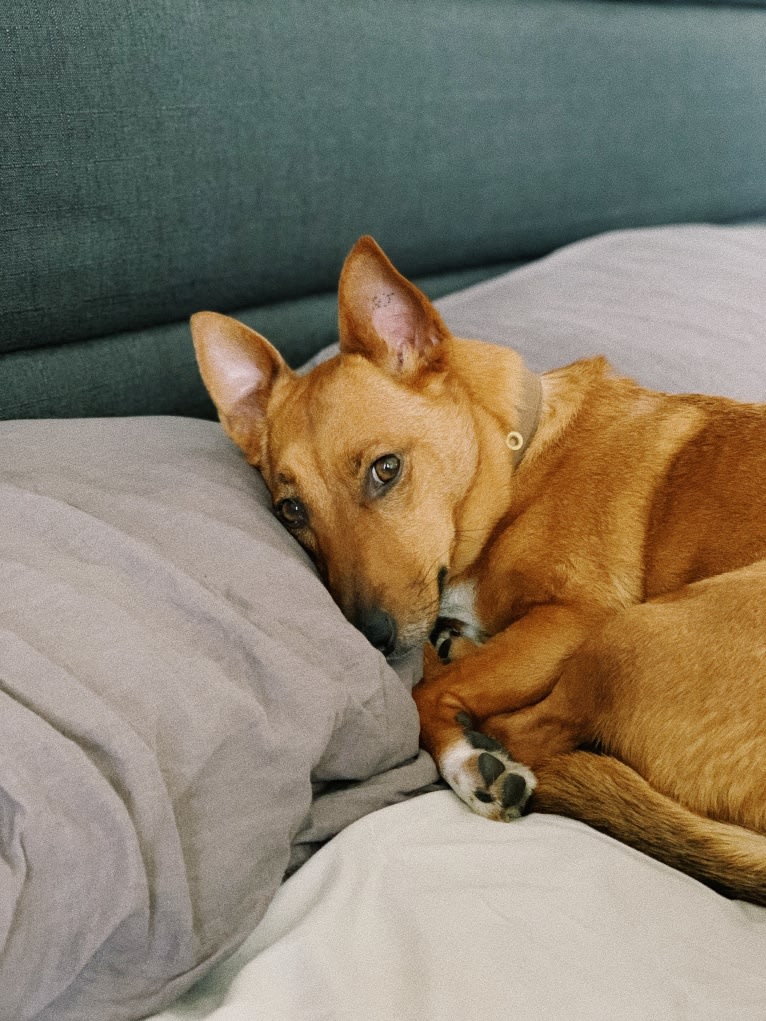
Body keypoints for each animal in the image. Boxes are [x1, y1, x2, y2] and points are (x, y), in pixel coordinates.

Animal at [193, 236, 766, 902]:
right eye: (291, 512)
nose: (371, 639)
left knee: (530, 730)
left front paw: (467, 757)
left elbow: (428, 695)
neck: (520, 463)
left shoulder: (574, 617)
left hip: (627, 639)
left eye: (385, 469)